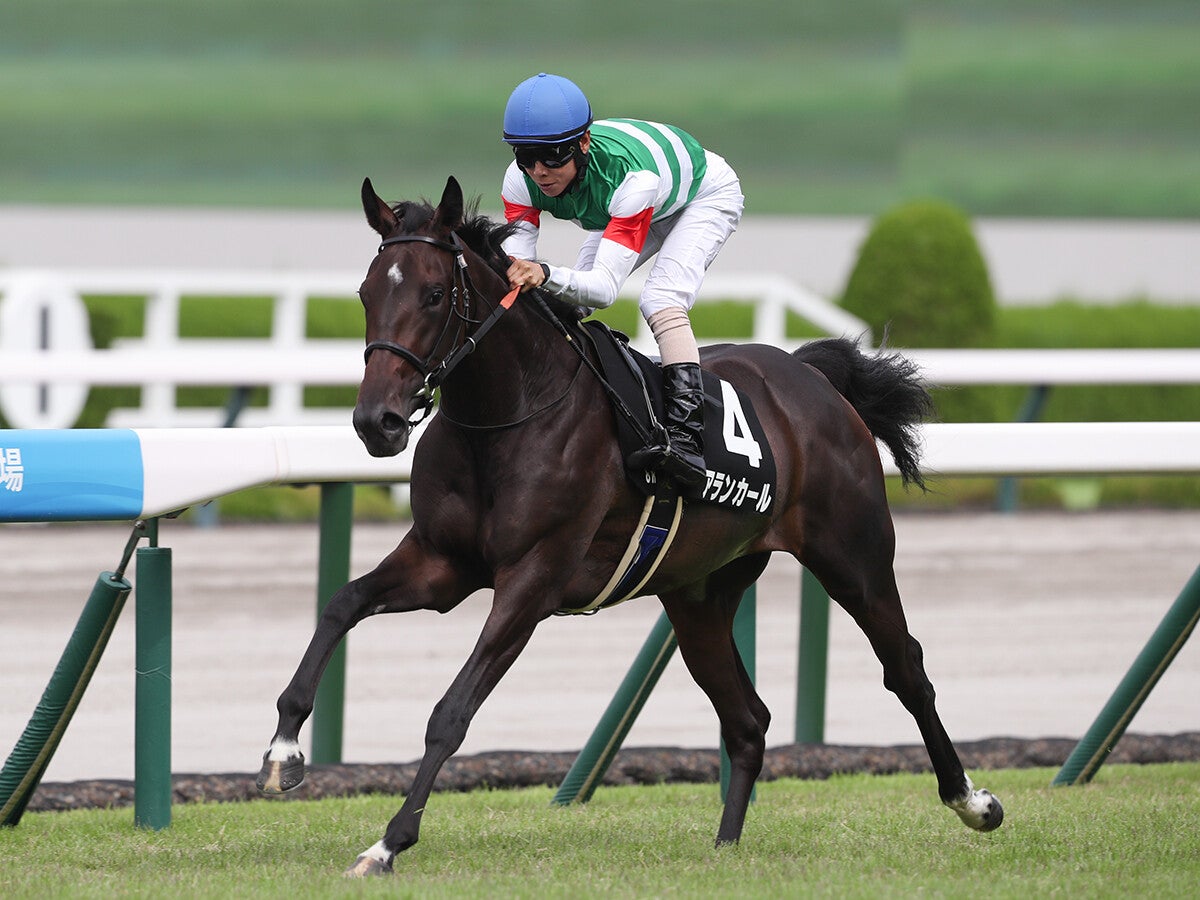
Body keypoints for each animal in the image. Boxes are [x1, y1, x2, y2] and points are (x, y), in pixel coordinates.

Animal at [257, 175, 1003, 876]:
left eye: (436, 295)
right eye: (365, 294)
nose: (375, 422)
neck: (508, 414)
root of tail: (811, 377)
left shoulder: (533, 578)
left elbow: (452, 712)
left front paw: (387, 843)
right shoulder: (443, 563)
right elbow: (343, 603)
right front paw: (283, 751)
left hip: (855, 555)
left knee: (906, 669)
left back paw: (973, 801)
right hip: (699, 592)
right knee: (747, 719)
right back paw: (724, 848)